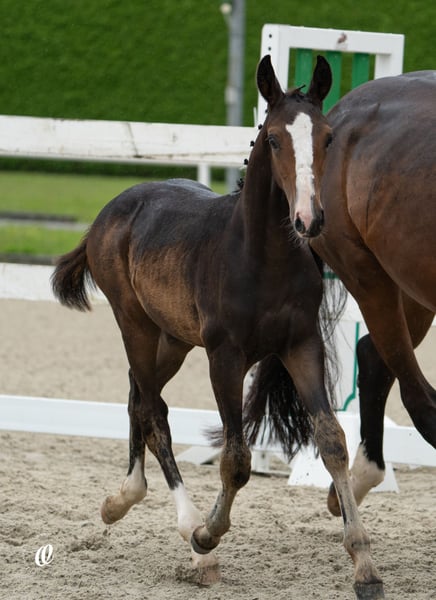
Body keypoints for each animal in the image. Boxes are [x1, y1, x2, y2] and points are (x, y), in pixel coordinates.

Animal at [51, 55, 383, 599]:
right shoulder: (224, 358)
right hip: (134, 324)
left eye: (328, 137)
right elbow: (236, 459)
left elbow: (332, 441)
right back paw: (186, 534)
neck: (260, 258)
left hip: (172, 340)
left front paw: (364, 566)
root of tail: (110, 210)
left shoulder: (302, 345)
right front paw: (207, 535)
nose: (309, 219)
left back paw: (122, 498)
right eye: (274, 138)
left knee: (138, 397)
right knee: (152, 410)